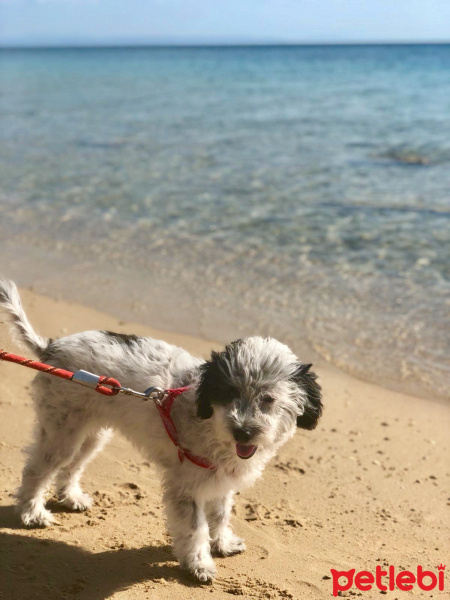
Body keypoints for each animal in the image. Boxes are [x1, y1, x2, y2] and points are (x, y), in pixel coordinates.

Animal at [0, 278, 324, 584]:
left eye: (268, 399)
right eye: (229, 393)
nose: (243, 432)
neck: (207, 420)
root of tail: (51, 348)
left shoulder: (219, 481)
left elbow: (220, 515)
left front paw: (222, 543)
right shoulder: (185, 487)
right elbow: (195, 529)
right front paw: (199, 565)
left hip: (91, 435)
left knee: (72, 467)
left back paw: (71, 497)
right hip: (62, 433)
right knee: (36, 470)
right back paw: (32, 512)